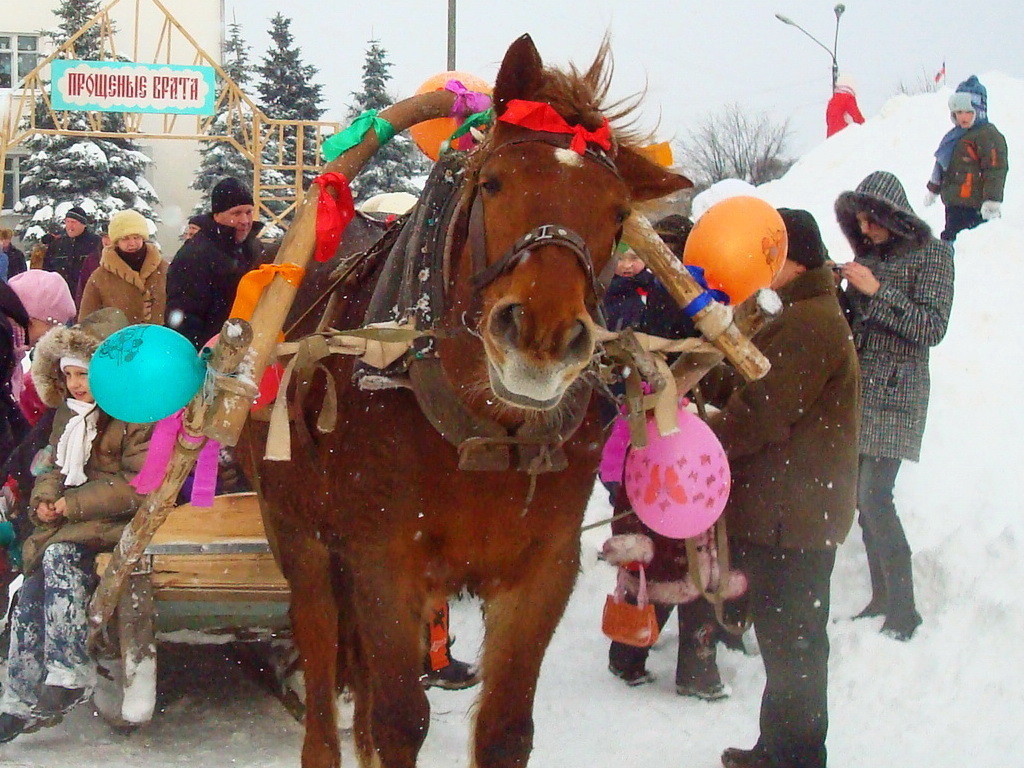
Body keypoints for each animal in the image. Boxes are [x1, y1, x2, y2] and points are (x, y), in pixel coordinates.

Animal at [238, 33, 688, 765]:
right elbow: (401, 717)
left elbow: (506, 728)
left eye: (619, 214)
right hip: (299, 539)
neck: (483, 431)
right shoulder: (382, 558)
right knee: (324, 669)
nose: (540, 336)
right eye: (494, 182)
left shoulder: (543, 569)